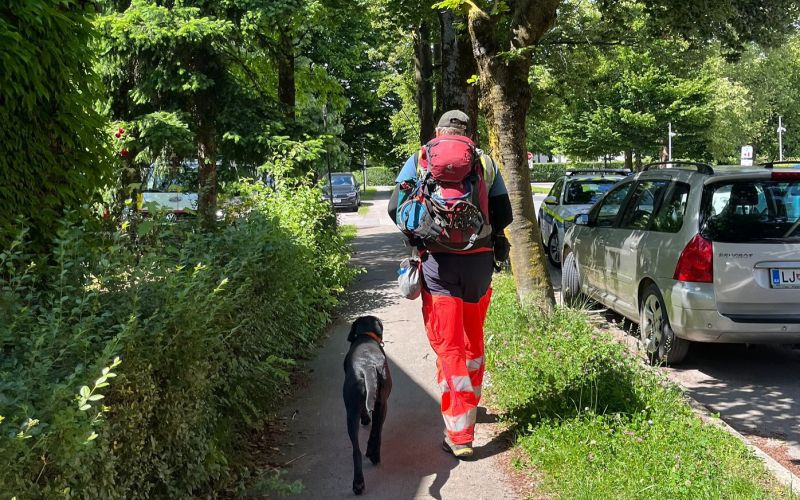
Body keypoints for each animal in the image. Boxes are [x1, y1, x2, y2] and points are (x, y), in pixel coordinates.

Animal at [343, 316, 392, 495]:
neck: (366, 336)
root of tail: (367, 367)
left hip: (353, 412)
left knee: (358, 449)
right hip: (380, 405)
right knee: (374, 434)